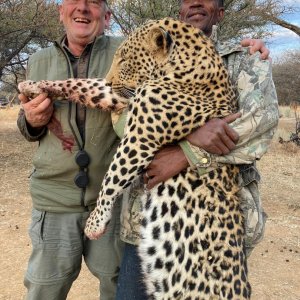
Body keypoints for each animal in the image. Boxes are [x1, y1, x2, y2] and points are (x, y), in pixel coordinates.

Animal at [19, 18, 251, 300]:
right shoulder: (122, 97)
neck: (184, 68)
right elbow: (83, 84)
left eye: (125, 59)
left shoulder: (140, 137)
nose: (110, 80)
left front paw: (95, 222)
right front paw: (33, 86)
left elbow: (112, 176)